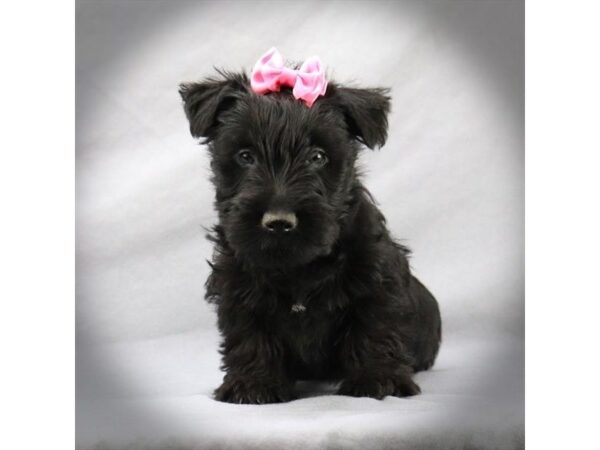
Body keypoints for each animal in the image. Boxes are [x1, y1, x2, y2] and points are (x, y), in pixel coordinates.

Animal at [178, 49, 440, 404]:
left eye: (317, 157)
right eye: (245, 156)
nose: (278, 222)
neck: (298, 267)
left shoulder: (378, 277)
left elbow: (375, 325)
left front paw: (378, 378)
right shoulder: (237, 283)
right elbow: (249, 333)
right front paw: (253, 383)